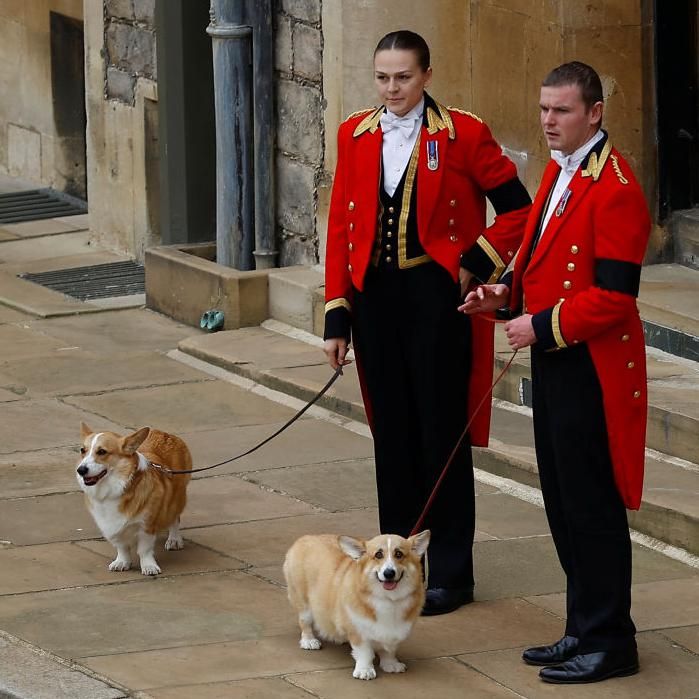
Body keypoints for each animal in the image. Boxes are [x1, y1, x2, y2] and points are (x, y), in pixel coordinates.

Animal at [76, 424, 193, 576]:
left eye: (102, 451)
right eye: (82, 450)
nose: (80, 470)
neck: (116, 487)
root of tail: (165, 434)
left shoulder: (146, 525)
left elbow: (144, 549)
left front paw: (149, 566)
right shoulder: (112, 526)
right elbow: (122, 547)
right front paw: (122, 562)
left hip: (176, 499)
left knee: (174, 518)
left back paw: (174, 539)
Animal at [282, 532, 430, 680]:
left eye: (399, 554)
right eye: (378, 555)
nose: (389, 573)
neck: (389, 599)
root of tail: (305, 538)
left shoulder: (395, 632)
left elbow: (389, 651)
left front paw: (391, 664)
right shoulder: (358, 631)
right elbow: (365, 653)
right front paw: (365, 670)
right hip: (304, 604)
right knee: (305, 623)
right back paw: (309, 641)